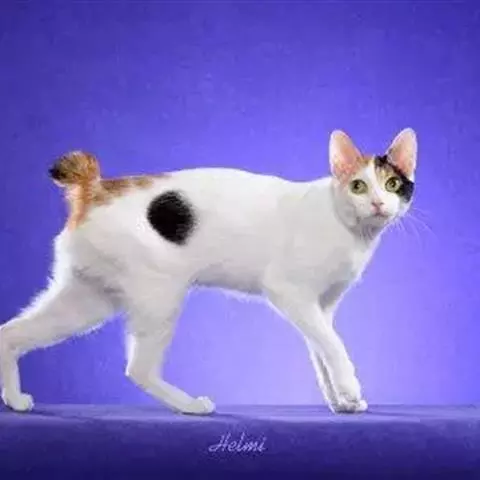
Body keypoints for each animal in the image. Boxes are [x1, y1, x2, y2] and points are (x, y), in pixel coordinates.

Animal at [0, 128, 417, 415]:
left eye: (393, 184)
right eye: (359, 186)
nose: (379, 203)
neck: (348, 226)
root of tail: (96, 187)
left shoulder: (322, 307)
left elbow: (321, 352)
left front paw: (340, 401)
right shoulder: (290, 294)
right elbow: (334, 346)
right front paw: (350, 388)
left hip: (87, 301)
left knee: (10, 333)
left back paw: (15, 401)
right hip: (160, 297)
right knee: (138, 369)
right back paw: (190, 406)